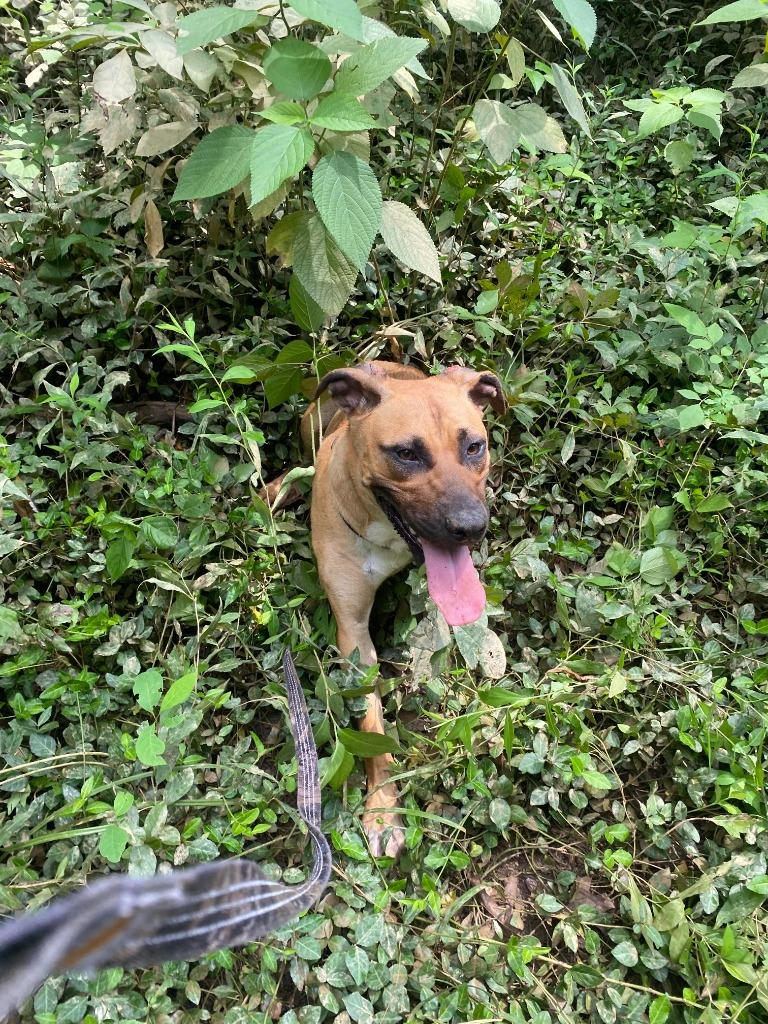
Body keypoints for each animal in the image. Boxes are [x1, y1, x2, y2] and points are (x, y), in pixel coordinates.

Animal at [270, 360, 505, 856]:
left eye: (474, 447)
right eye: (406, 454)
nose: (472, 527)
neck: (387, 536)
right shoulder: (353, 633)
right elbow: (373, 724)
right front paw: (380, 808)